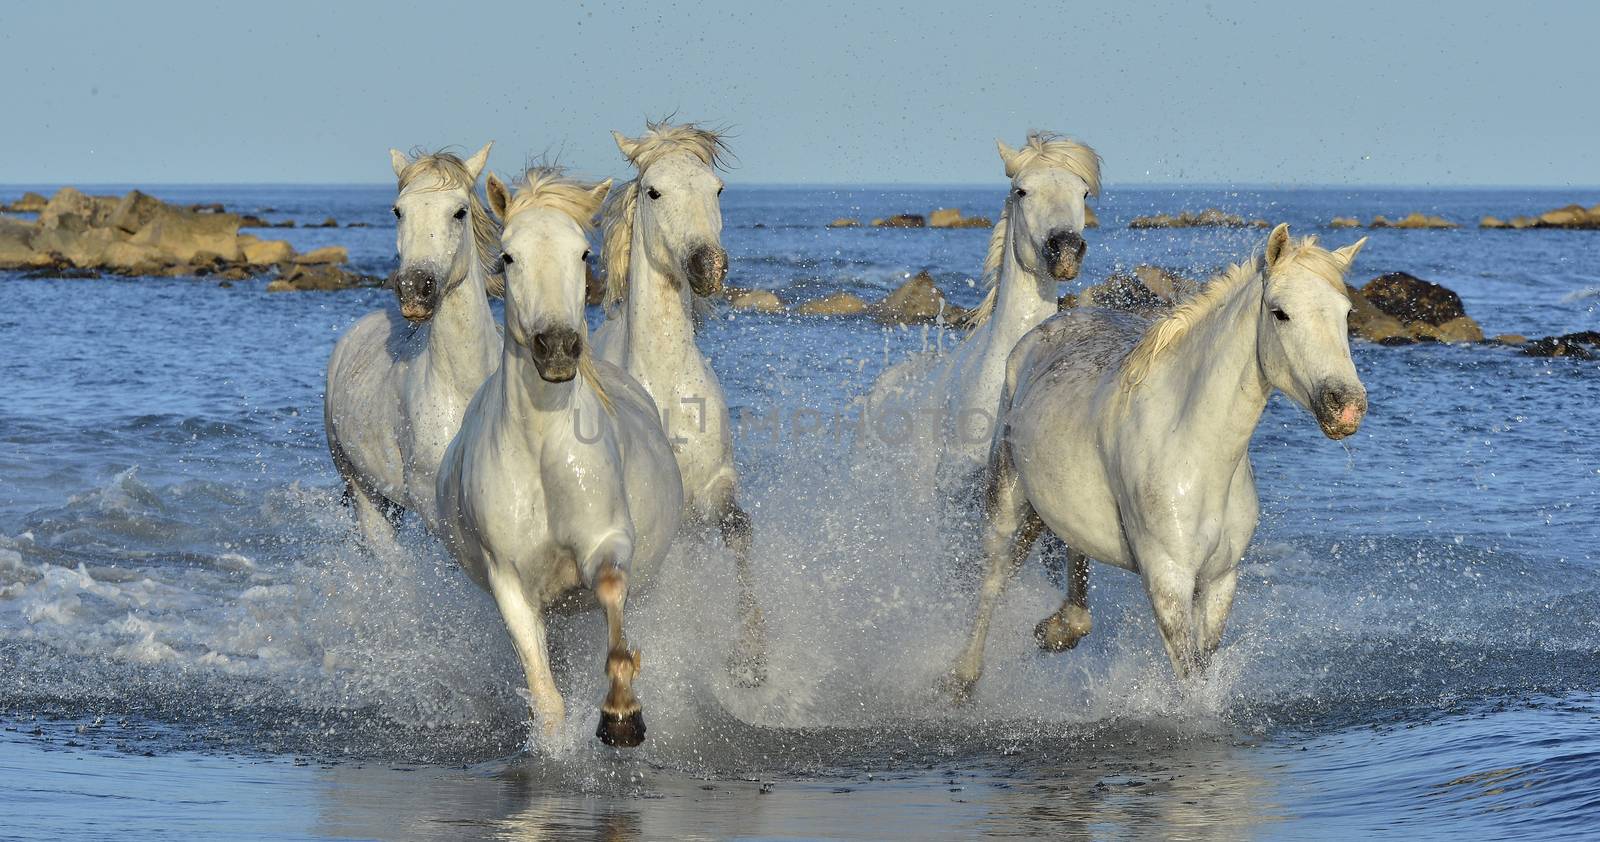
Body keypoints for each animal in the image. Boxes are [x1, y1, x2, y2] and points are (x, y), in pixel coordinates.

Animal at [323, 145, 499, 550]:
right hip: (366, 491)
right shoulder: (433, 504)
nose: (415, 289)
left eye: (460, 211)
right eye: (398, 210)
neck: (461, 386)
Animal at [438, 168, 688, 749]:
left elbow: (612, 591)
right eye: (508, 256)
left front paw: (622, 714)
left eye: (583, 253)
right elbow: (544, 693)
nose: (556, 348)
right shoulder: (510, 583)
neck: (541, 452)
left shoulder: (607, 541)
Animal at [595, 118, 768, 685]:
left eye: (717, 189)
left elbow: (739, 530)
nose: (707, 266)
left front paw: (751, 656)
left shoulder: (715, 486)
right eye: (654, 191)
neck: (669, 392)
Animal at [940, 224, 1369, 694]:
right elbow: (1192, 684)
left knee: (1073, 559)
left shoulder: (1219, 582)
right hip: (1005, 493)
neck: (1194, 452)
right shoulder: (1168, 582)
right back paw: (962, 678)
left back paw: (1059, 629)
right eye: (1280, 313)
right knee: (993, 576)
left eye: (1346, 314)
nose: (1346, 406)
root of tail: (1045, 328)